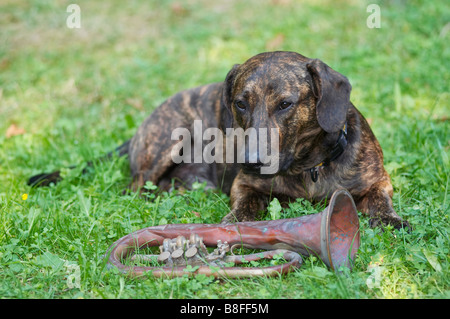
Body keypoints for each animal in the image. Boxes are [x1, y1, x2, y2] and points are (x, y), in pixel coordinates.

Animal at [27, 50, 408, 230]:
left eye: (285, 104)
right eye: (240, 103)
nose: (251, 161)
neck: (308, 167)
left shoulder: (378, 181)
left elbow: (379, 200)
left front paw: (390, 220)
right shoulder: (245, 185)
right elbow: (245, 203)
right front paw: (235, 222)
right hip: (166, 140)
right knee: (134, 188)